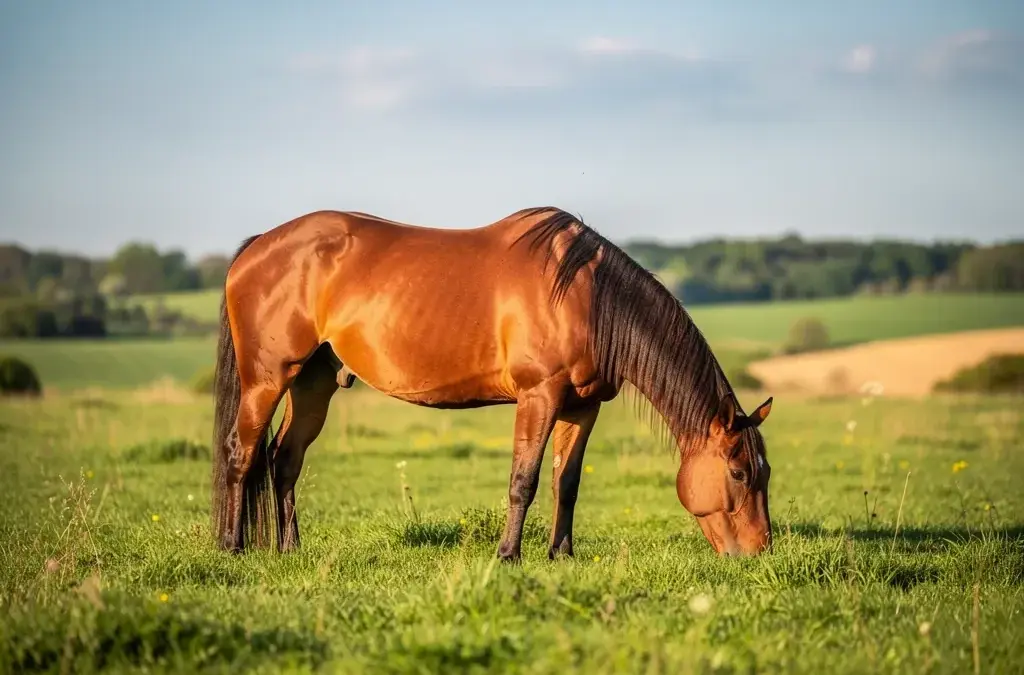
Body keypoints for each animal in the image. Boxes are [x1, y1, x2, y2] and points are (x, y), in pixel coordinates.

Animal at [210, 206, 775, 560]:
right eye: (739, 473)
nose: (758, 552)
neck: (585, 295)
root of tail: (256, 248)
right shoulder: (538, 396)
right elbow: (523, 480)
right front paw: (508, 554)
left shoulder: (582, 407)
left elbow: (566, 483)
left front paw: (561, 554)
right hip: (266, 380)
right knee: (241, 453)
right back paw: (234, 548)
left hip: (313, 382)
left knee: (284, 460)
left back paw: (290, 549)